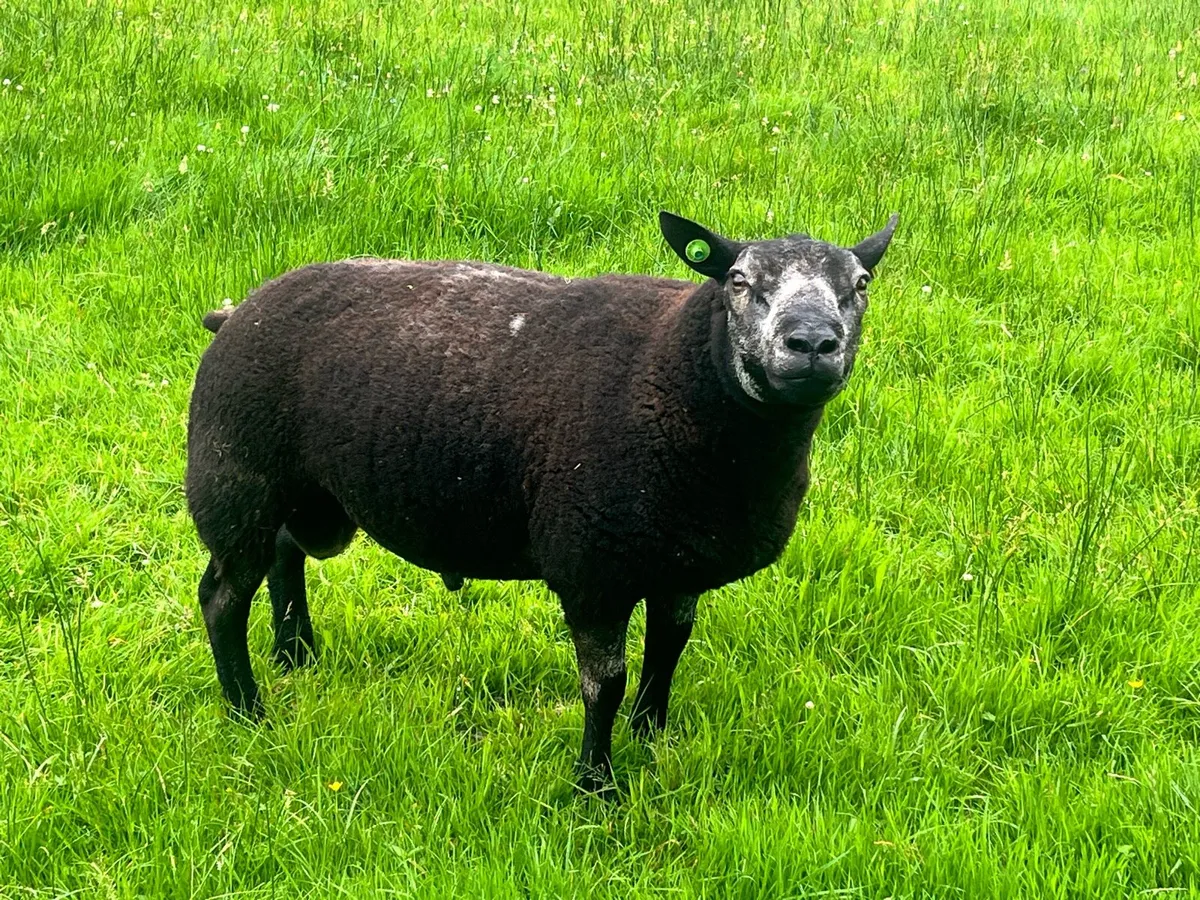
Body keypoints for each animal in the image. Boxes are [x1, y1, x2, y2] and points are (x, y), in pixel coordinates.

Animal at [186, 209, 898, 793]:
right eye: (740, 281)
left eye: (861, 283)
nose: (813, 344)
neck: (676, 375)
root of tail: (236, 312)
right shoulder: (592, 567)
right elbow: (603, 684)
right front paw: (596, 787)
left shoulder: (676, 566)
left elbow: (669, 647)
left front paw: (651, 737)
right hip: (234, 476)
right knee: (222, 597)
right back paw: (248, 711)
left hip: (299, 490)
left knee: (285, 554)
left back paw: (296, 654)